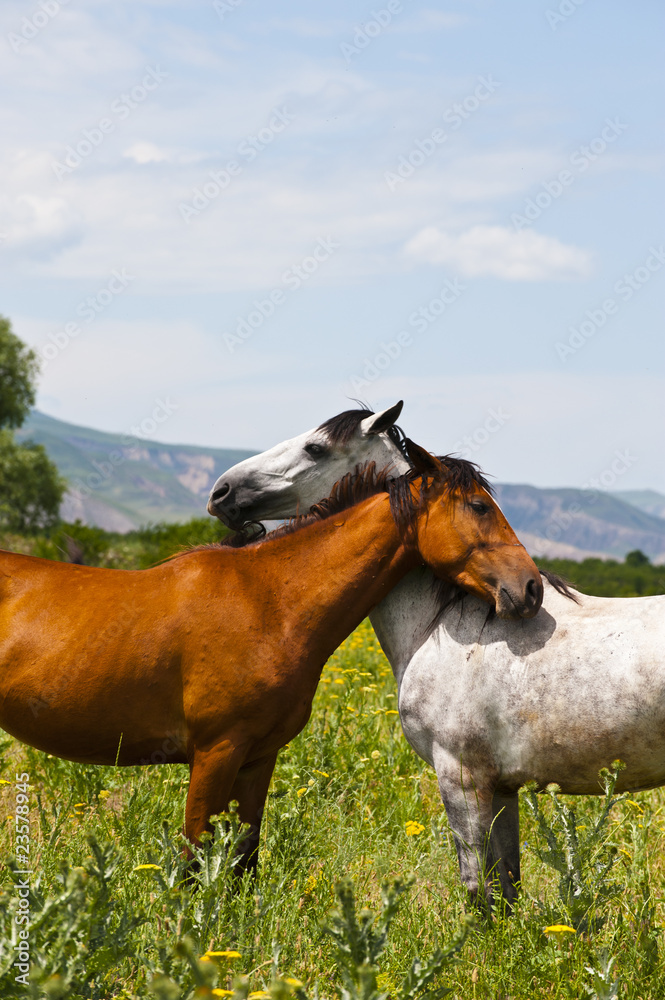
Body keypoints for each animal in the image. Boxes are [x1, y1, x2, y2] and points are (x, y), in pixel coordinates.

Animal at [0, 444, 542, 875]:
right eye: (479, 505)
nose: (531, 588)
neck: (268, 602)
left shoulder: (258, 758)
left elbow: (244, 856)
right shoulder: (215, 753)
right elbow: (195, 858)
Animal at [208, 401, 665, 906]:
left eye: (315, 448)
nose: (221, 491)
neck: (452, 625)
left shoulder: (461, 778)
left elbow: (479, 887)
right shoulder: (501, 787)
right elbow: (507, 883)